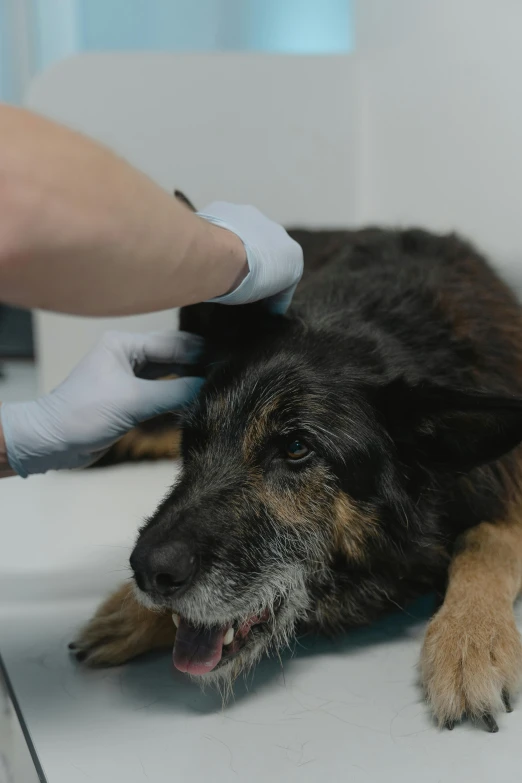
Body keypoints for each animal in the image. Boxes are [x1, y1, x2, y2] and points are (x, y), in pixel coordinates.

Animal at [70, 198, 522, 736]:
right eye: (194, 440)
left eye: (296, 448)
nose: (146, 571)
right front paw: (135, 612)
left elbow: (489, 539)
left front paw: (470, 639)